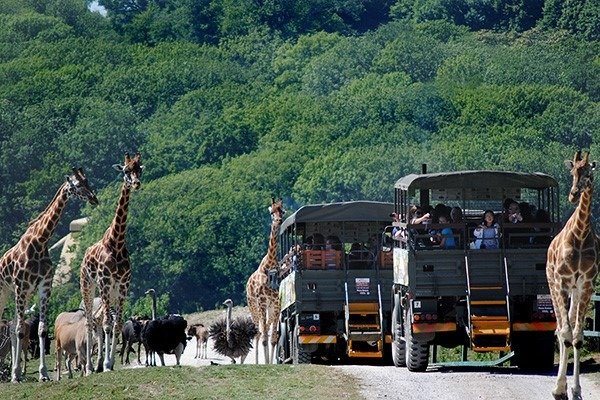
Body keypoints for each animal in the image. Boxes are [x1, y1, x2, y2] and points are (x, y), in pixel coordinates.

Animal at [0, 166, 97, 382]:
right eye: (77, 185)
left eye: (87, 181)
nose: (94, 198)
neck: (40, 241)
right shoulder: (22, 286)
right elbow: (20, 331)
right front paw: (18, 376)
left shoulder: (43, 287)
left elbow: (41, 330)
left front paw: (43, 374)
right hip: (6, 292)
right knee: (12, 326)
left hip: (18, 294)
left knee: (12, 325)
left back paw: (13, 371)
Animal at [79, 152, 144, 374]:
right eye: (125, 170)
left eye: (139, 169)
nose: (136, 183)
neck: (117, 242)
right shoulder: (105, 282)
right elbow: (108, 323)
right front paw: (107, 364)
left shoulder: (123, 285)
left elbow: (116, 324)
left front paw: (110, 362)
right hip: (89, 286)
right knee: (91, 321)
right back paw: (90, 367)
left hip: (112, 292)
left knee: (99, 319)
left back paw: (99, 362)